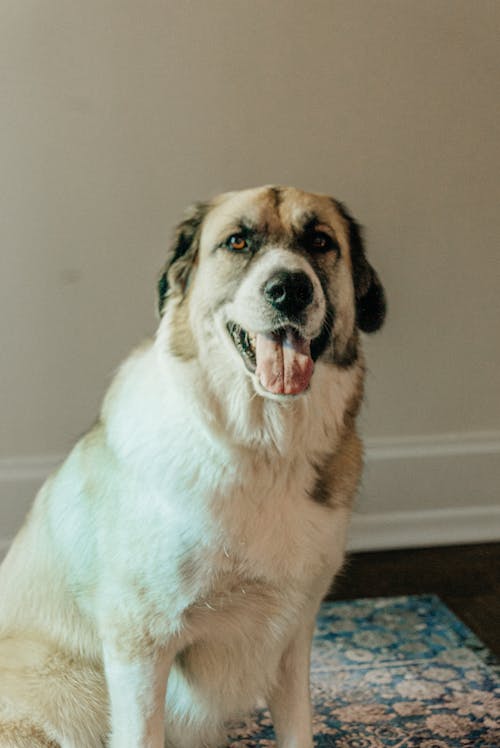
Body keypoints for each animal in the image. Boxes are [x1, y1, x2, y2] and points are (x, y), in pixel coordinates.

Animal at [0, 186, 386, 748]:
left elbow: (298, 729)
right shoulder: (140, 645)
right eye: (238, 242)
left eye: (319, 241)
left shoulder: (293, 636)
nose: (289, 289)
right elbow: (142, 733)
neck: (265, 448)